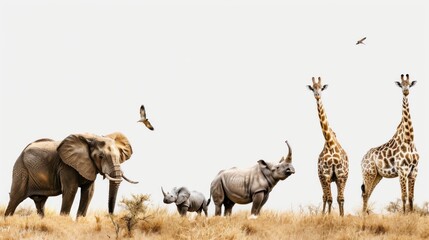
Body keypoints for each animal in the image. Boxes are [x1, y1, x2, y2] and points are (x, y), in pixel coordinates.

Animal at [5, 131, 139, 218]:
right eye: (101, 156)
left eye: (119, 156)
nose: (111, 216)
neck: (93, 138)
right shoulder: (66, 166)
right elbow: (70, 190)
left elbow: (88, 192)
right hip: (21, 170)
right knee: (15, 198)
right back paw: (7, 220)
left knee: (40, 203)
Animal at [308, 77, 348, 216]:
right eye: (313, 88)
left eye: (321, 88)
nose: (317, 95)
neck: (330, 144)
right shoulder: (325, 176)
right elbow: (330, 198)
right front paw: (328, 217)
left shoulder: (341, 175)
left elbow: (340, 199)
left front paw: (342, 217)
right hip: (323, 178)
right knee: (325, 196)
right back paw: (322, 214)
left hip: (337, 179)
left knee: (335, 197)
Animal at [362, 73, 418, 214]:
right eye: (401, 85)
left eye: (409, 84)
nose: (406, 92)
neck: (409, 139)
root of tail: (362, 160)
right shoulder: (402, 170)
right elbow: (404, 196)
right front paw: (404, 215)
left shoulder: (414, 171)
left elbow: (411, 197)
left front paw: (411, 215)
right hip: (368, 173)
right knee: (365, 194)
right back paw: (363, 216)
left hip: (377, 175)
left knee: (368, 193)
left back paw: (365, 215)